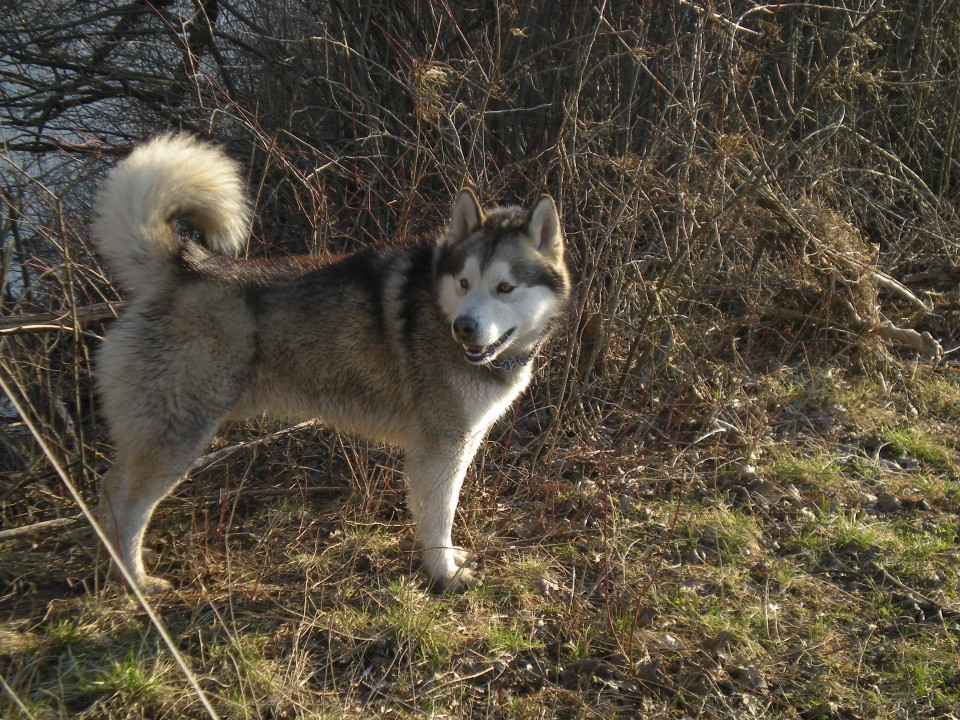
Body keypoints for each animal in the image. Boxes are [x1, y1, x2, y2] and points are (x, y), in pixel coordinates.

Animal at [92, 134, 568, 592]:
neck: (439, 306)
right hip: (176, 436)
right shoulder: (439, 448)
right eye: (465, 282)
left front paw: (448, 562)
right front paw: (443, 574)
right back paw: (136, 580)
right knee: (122, 503)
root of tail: (185, 267)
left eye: (505, 287)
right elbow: (438, 518)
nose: (464, 328)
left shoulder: (462, 442)